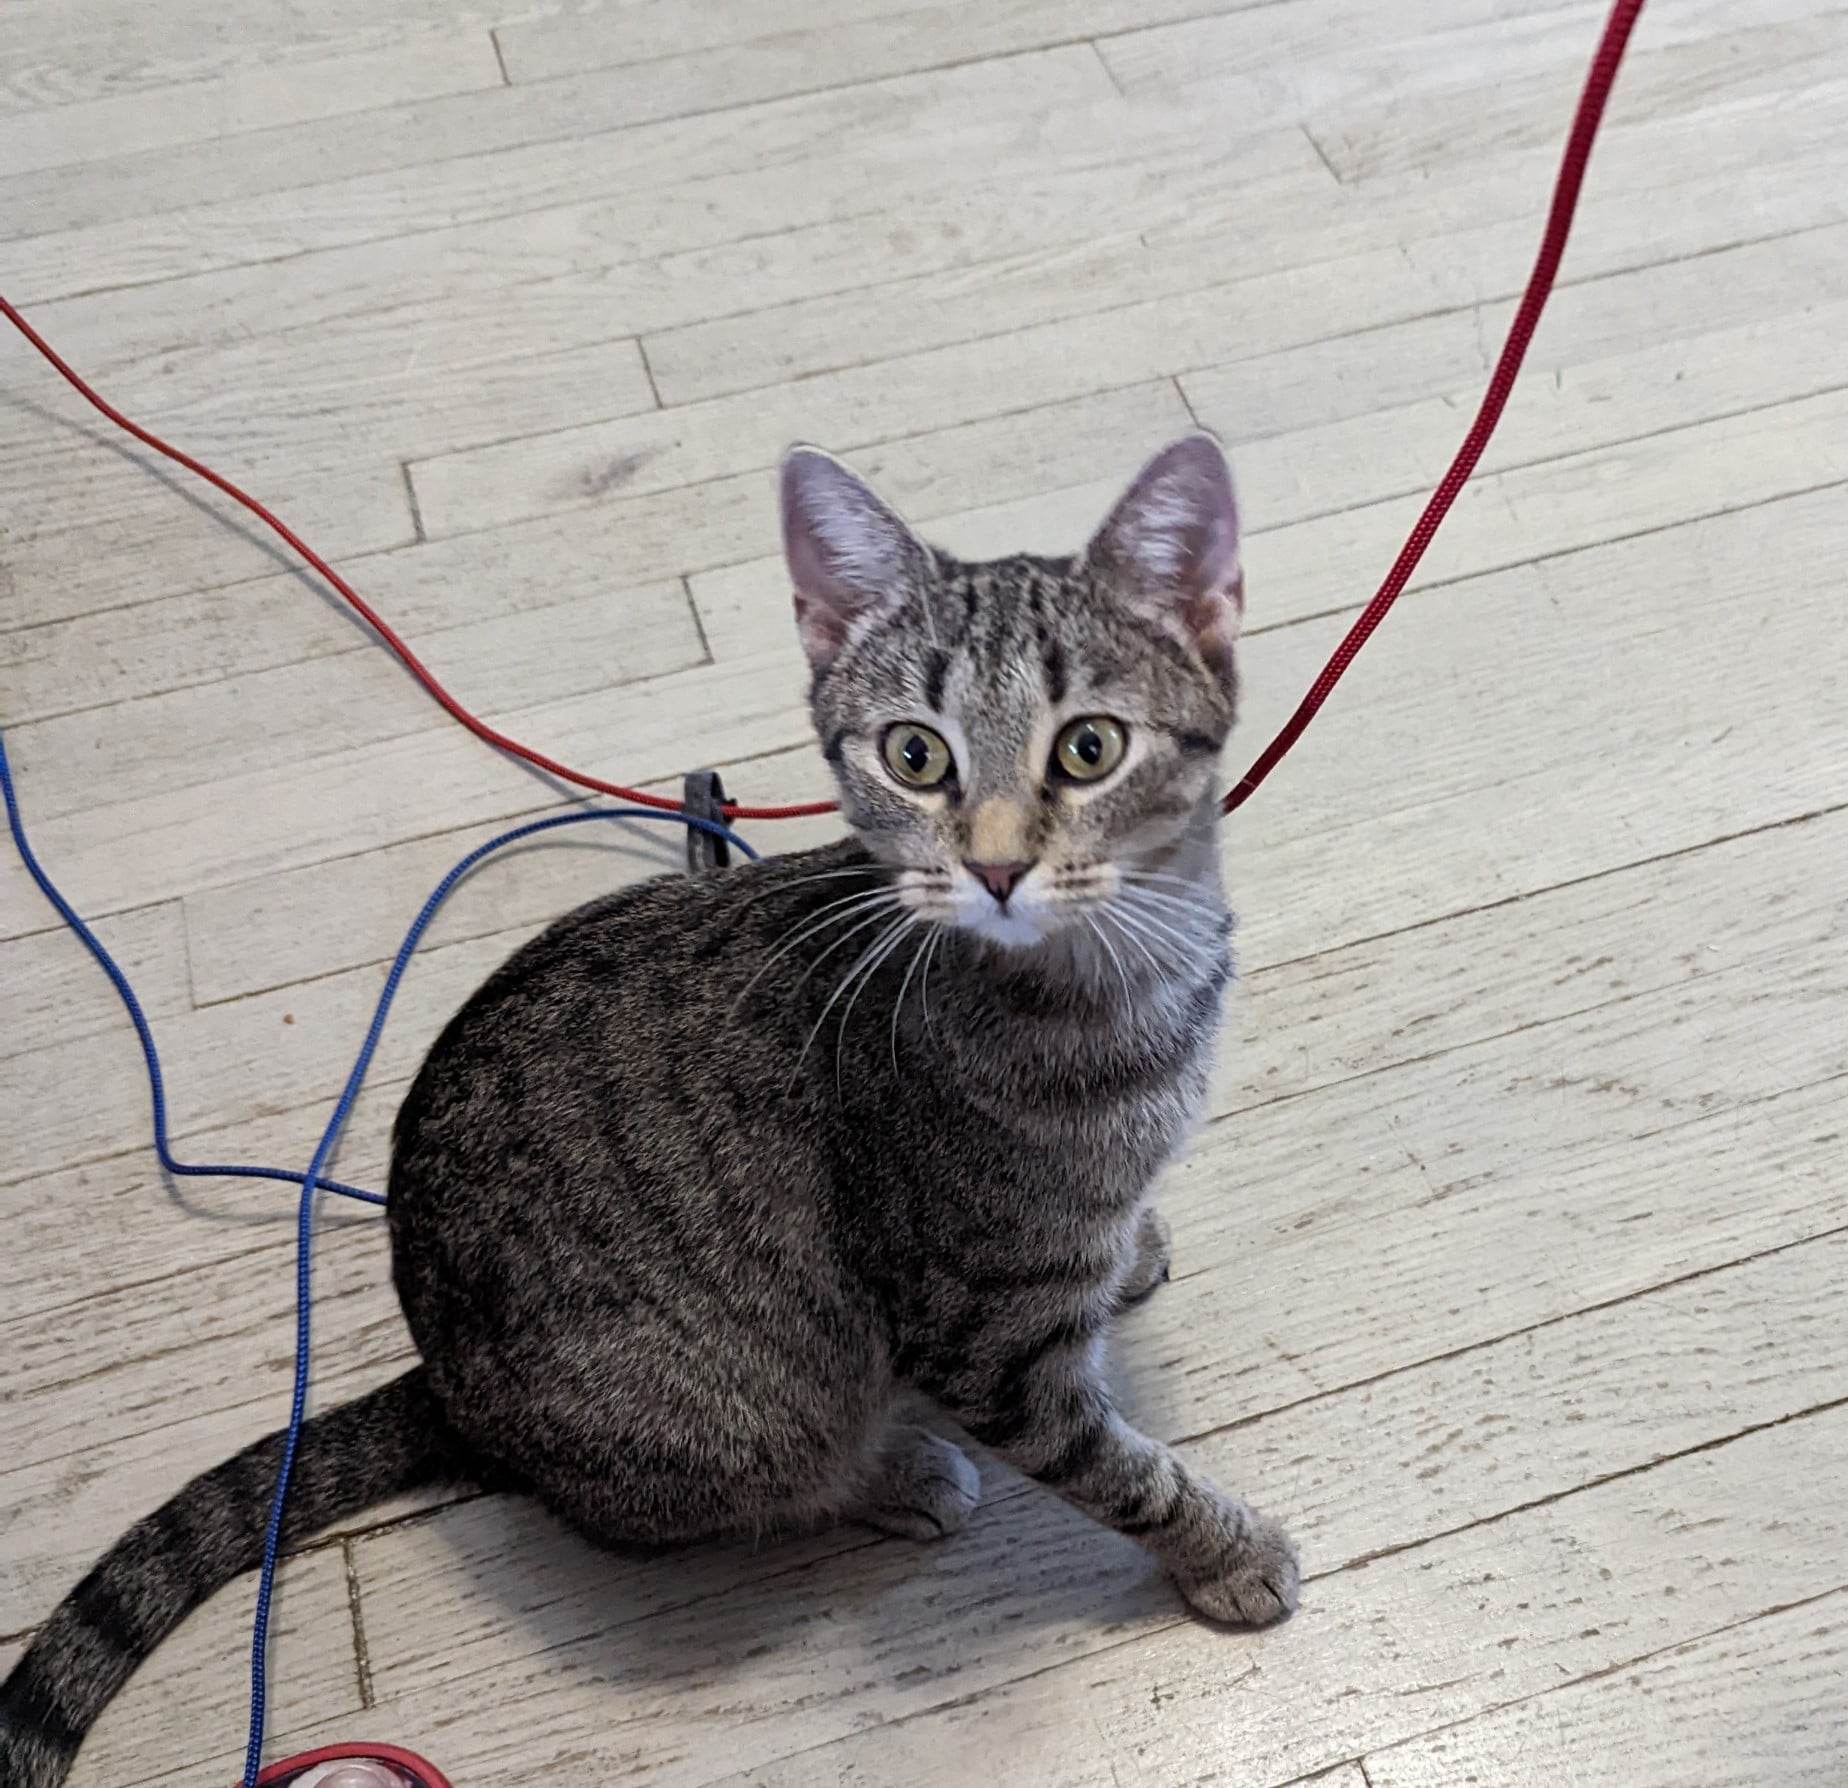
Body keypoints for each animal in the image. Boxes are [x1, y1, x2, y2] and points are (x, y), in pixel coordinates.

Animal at [0, 432, 1298, 1788]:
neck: (1127, 981)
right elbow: (1117, 1469)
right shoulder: (979, 1339)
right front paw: (1225, 1549)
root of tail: (443, 1380)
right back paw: (893, 1471)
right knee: (753, 1484)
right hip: (740, 1412)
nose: (995, 865)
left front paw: (1128, 1248)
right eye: (916, 756)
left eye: (1089, 748)